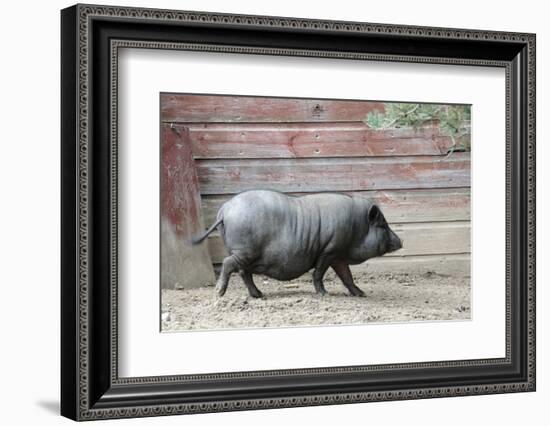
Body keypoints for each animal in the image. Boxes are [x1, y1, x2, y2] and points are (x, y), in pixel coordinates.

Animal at [192, 188, 404, 298]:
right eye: (383, 225)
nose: (401, 241)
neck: (357, 227)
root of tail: (224, 210)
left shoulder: (338, 256)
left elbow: (347, 277)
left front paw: (362, 294)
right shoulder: (329, 250)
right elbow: (319, 273)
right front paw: (324, 294)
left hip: (245, 254)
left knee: (244, 273)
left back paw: (259, 295)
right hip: (244, 251)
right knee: (229, 264)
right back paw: (219, 293)